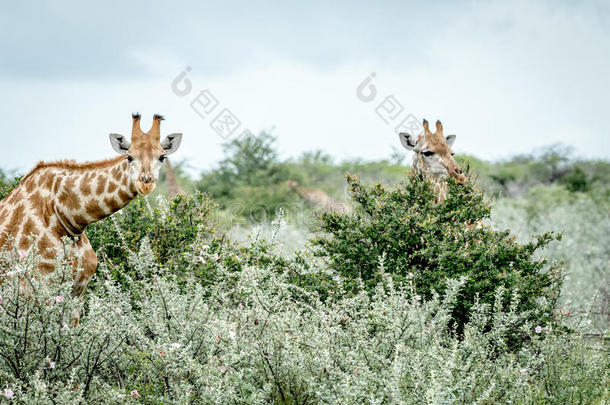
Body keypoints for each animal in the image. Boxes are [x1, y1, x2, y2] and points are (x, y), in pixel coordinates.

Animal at [0, 113, 182, 318]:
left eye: (162, 157)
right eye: (129, 157)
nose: (145, 183)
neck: (68, 218)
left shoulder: (77, 292)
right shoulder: (33, 289)